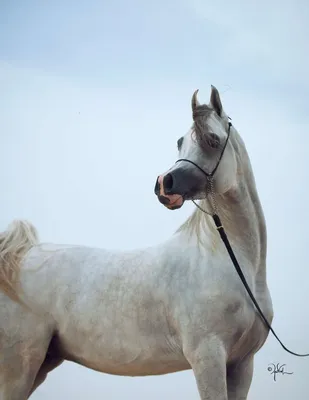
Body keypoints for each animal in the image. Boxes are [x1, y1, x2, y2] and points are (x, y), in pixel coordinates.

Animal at [0, 85, 272, 400]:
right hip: (19, 366)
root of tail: (16, 257)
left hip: (43, 362)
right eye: (180, 142)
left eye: (212, 140)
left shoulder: (241, 364)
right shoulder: (208, 356)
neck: (229, 262)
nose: (164, 185)